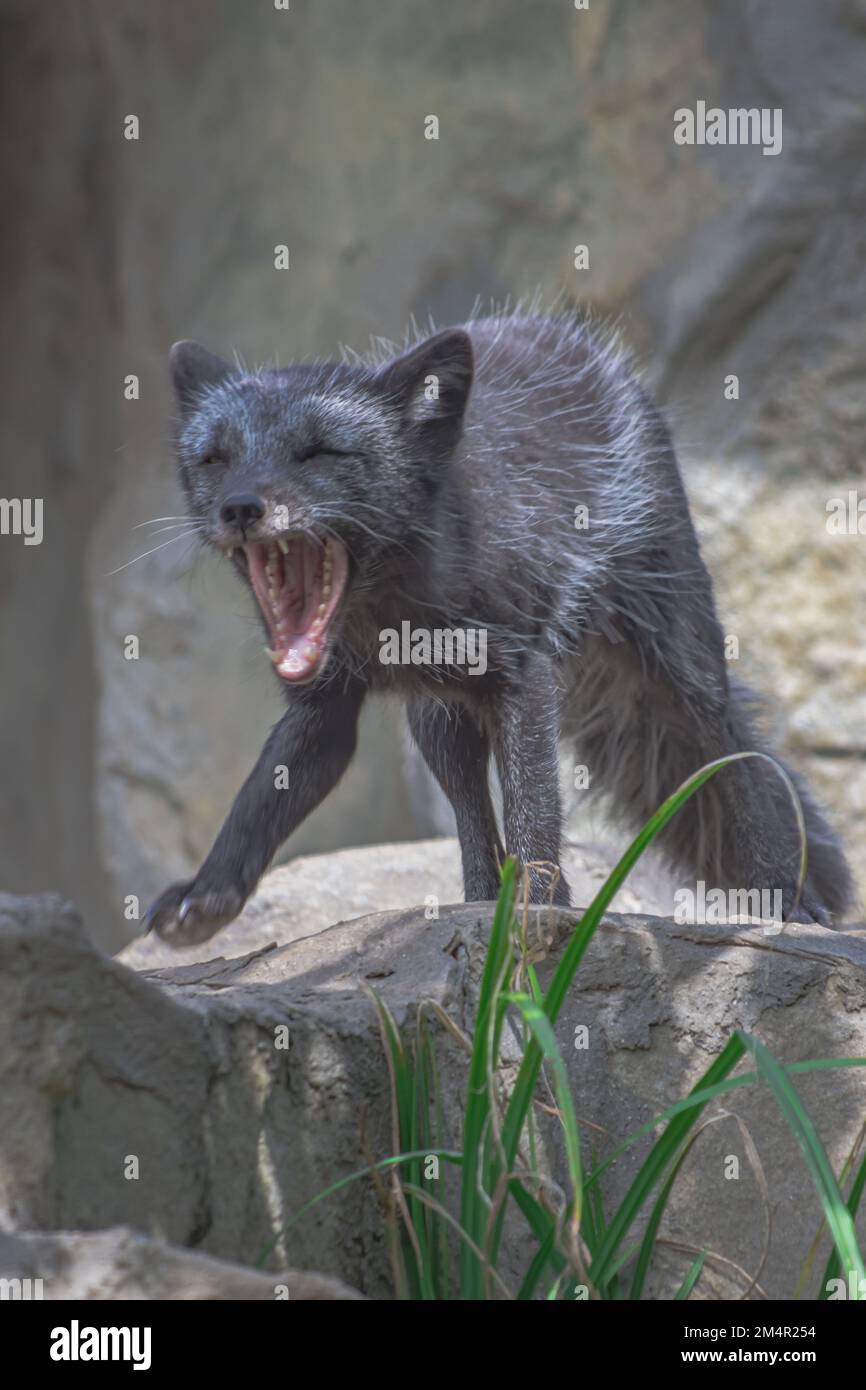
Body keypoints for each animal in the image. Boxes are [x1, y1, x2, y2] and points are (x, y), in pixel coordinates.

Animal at [143, 314, 856, 945]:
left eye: (319, 452)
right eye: (215, 459)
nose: (240, 508)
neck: (390, 613)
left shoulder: (523, 673)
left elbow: (533, 806)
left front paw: (537, 912)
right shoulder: (323, 708)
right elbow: (257, 802)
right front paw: (206, 896)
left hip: (681, 654)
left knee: (726, 749)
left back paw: (785, 900)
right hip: (436, 721)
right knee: (469, 809)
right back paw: (479, 901)